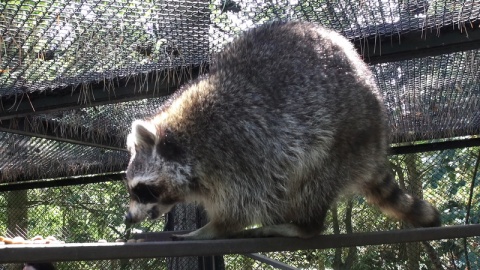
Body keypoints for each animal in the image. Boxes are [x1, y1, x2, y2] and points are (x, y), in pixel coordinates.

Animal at [124, 21, 442, 240]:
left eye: (141, 189)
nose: (128, 218)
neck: (185, 141)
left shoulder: (239, 144)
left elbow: (245, 201)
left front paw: (216, 227)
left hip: (345, 136)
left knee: (312, 179)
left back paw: (305, 225)